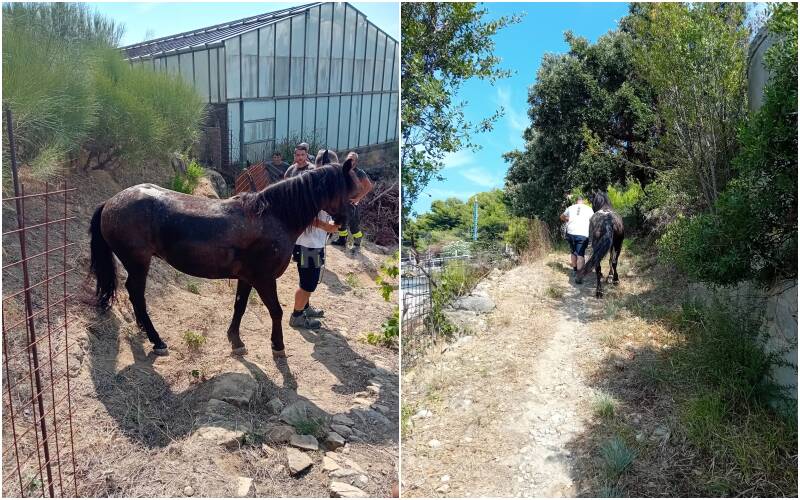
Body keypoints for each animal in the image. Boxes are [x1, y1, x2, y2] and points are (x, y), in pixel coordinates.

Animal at [88, 159, 360, 356]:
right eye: (347, 191)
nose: (344, 224)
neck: (274, 216)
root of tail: (110, 202)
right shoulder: (264, 279)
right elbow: (276, 311)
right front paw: (278, 346)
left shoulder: (247, 278)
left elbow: (240, 306)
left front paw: (236, 341)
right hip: (138, 264)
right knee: (137, 295)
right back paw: (157, 340)